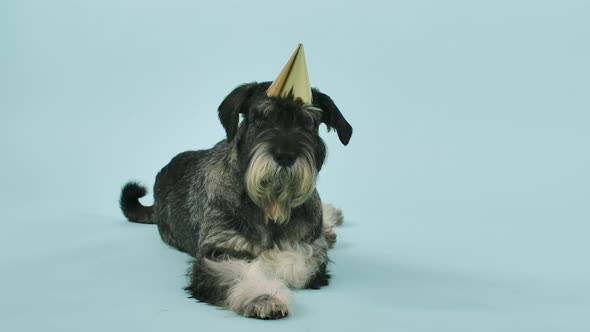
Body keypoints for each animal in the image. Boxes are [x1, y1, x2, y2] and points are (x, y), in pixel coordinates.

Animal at [118, 81, 354, 320]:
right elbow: (237, 271)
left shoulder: (308, 247)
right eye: (261, 117)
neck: (271, 206)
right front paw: (264, 297)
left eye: (308, 122)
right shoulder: (218, 252)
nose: (285, 156)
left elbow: (297, 260)